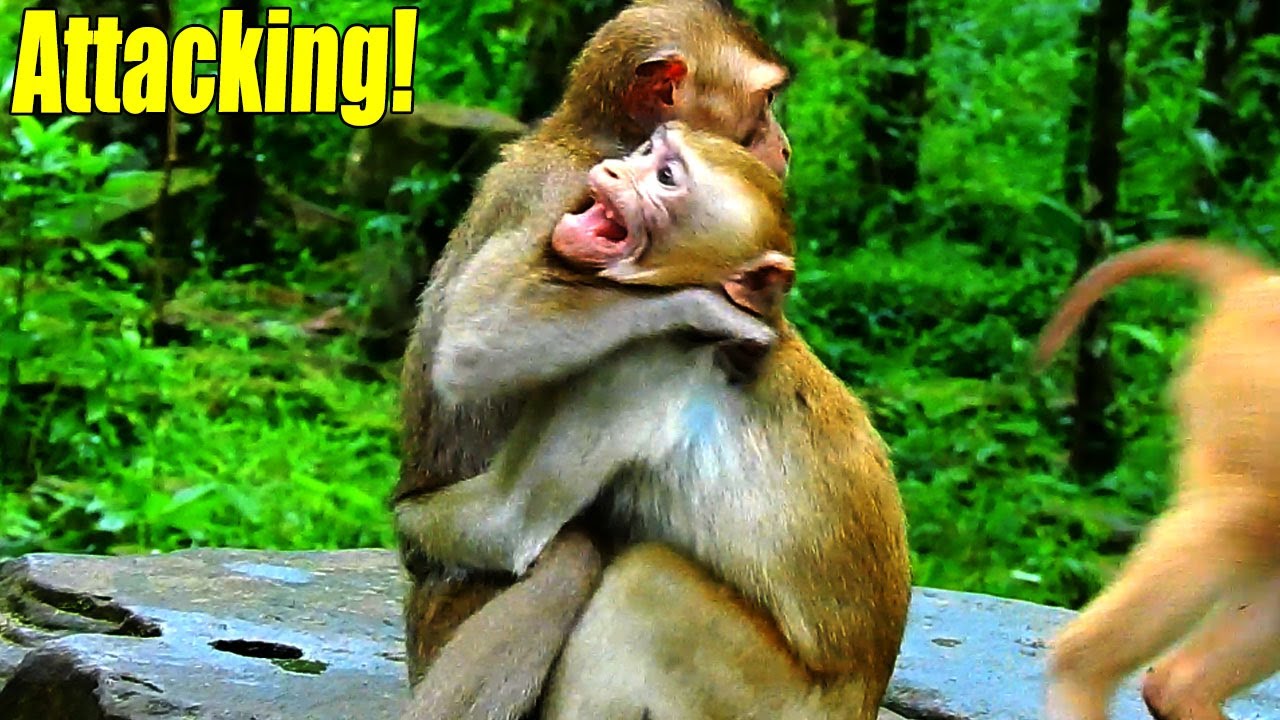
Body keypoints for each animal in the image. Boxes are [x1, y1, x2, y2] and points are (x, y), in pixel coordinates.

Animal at [393, 1, 794, 717]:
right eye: (767, 100)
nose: (785, 147)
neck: (595, 137)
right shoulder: (570, 199)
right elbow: (474, 336)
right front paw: (701, 307)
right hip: (445, 615)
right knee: (565, 561)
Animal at [404, 121, 912, 720]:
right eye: (647, 152)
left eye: (666, 177)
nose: (612, 169)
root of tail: (863, 698)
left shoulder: (639, 367)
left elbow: (509, 520)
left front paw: (408, 521)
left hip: (767, 699)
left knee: (639, 584)